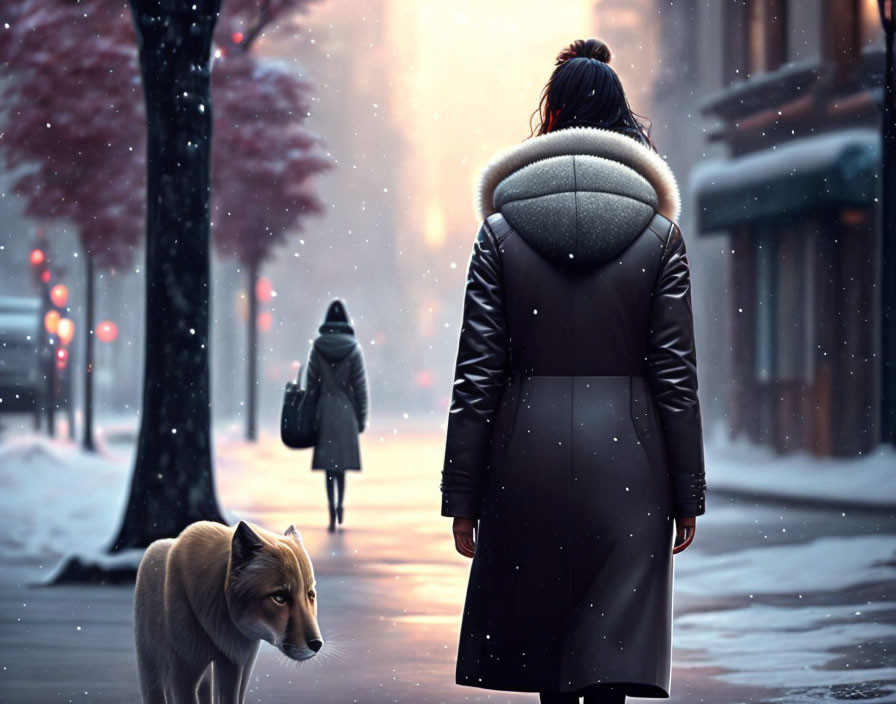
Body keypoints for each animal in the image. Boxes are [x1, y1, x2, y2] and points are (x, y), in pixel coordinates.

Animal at [133, 520, 322, 700]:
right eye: (280, 597)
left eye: (310, 594)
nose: (317, 644)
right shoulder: (183, 672)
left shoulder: (236, 665)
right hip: (152, 665)